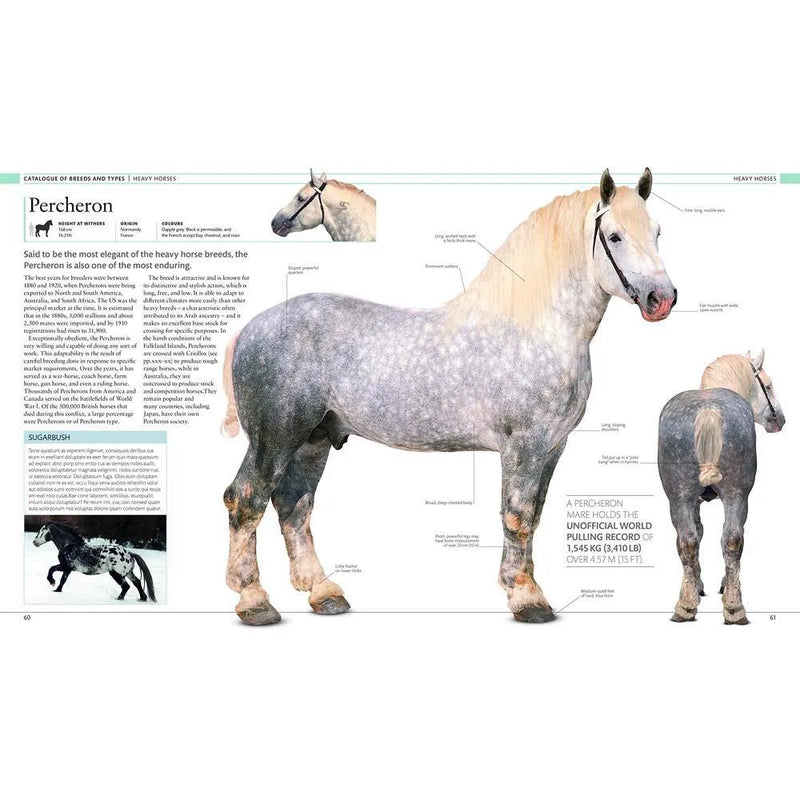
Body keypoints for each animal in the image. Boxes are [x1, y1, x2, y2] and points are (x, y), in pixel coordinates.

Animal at [222, 168, 677, 625]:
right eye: (615, 236)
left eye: (658, 231)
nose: (662, 299)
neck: (537, 327)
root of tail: (251, 328)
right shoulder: (523, 445)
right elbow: (517, 517)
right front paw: (526, 598)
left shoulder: (553, 447)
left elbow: (534, 516)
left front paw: (525, 587)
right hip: (274, 438)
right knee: (245, 501)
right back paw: (254, 600)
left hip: (313, 440)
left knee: (293, 506)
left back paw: (324, 593)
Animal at [658, 351, 785, 624]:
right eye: (768, 386)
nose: (779, 419)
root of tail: (709, 410)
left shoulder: (691, 500)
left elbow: (697, 535)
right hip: (736, 496)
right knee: (731, 539)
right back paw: (733, 607)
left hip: (681, 498)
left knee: (692, 542)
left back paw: (687, 607)